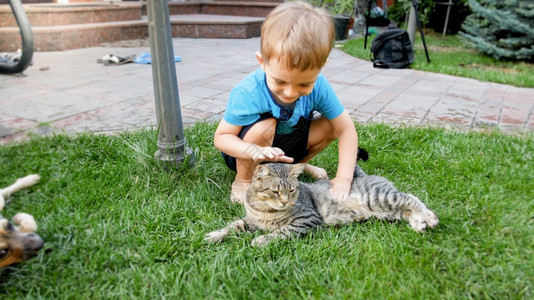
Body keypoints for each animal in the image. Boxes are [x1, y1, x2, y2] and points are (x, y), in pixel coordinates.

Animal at [205, 161, 440, 247]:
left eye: (291, 190)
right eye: (275, 191)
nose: (284, 201)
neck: (265, 210)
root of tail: (363, 175)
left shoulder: (307, 219)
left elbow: (281, 232)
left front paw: (261, 240)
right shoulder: (251, 220)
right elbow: (233, 226)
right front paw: (215, 235)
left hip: (381, 198)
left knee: (410, 197)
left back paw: (430, 218)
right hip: (386, 211)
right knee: (406, 211)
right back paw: (420, 224)